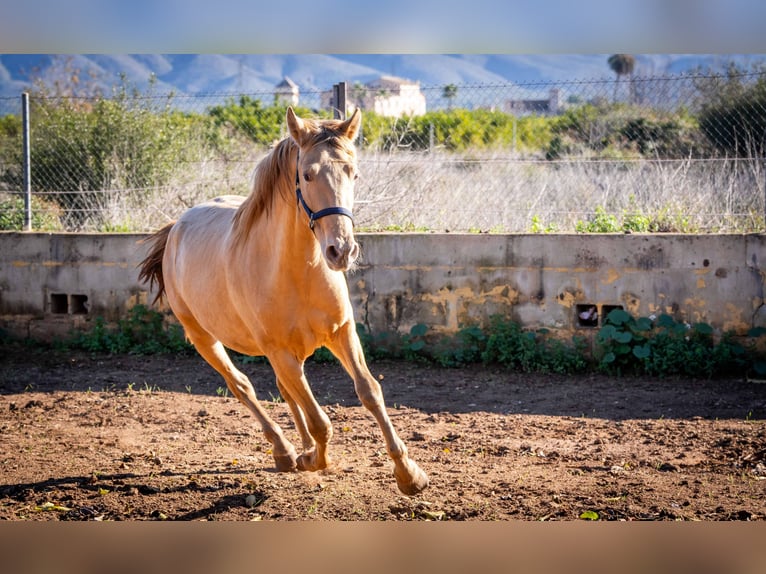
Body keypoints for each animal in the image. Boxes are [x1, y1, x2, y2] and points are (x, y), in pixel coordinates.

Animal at [136, 106, 426, 498]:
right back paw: (286, 452)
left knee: (285, 391)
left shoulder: (342, 333)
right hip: (205, 339)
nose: (342, 251)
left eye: (354, 172)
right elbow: (320, 421)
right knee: (243, 386)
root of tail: (176, 228)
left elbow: (369, 392)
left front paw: (409, 474)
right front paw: (313, 459)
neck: (297, 271)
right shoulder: (280, 351)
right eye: (307, 174)